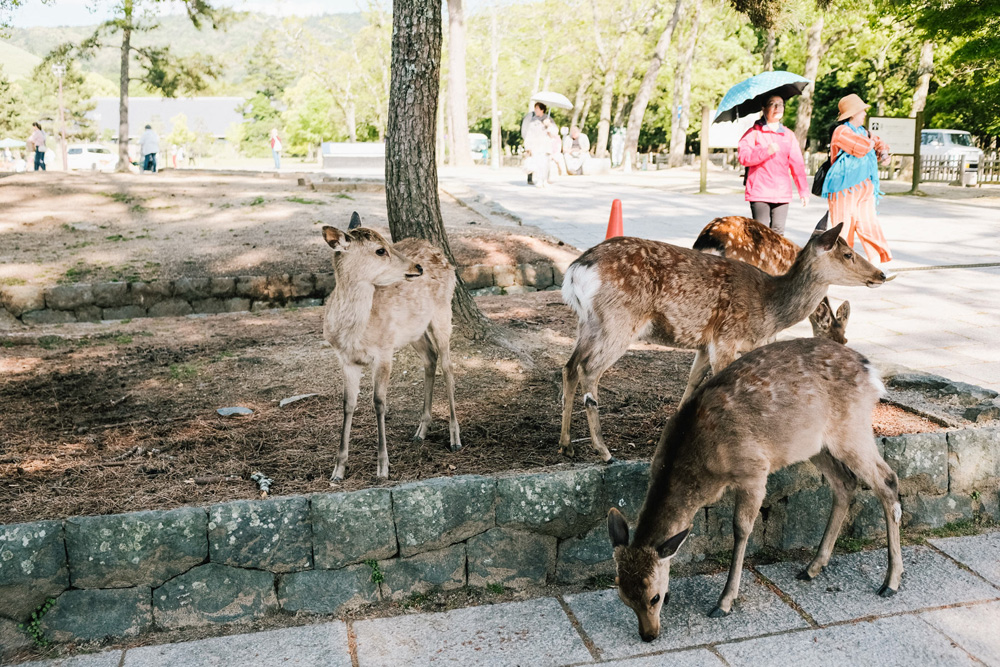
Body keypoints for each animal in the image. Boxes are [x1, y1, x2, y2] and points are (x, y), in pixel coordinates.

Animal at [320, 214, 460, 480]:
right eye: (380, 250)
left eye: (387, 243)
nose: (417, 267)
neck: (355, 333)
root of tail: (440, 252)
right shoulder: (345, 359)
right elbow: (347, 404)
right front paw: (338, 469)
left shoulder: (384, 351)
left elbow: (379, 402)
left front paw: (383, 467)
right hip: (414, 331)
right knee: (431, 358)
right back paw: (420, 431)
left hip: (443, 310)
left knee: (448, 365)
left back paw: (455, 437)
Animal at [604, 340, 904, 640]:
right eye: (623, 597)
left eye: (654, 597)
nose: (648, 635)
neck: (702, 467)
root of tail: (870, 370)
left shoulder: (754, 470)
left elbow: (741, 529)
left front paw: (724, 602)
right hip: (814, 444)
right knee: (845, 482)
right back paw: (813, 568)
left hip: (851, 429)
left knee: (887, 480)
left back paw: (890, 582)